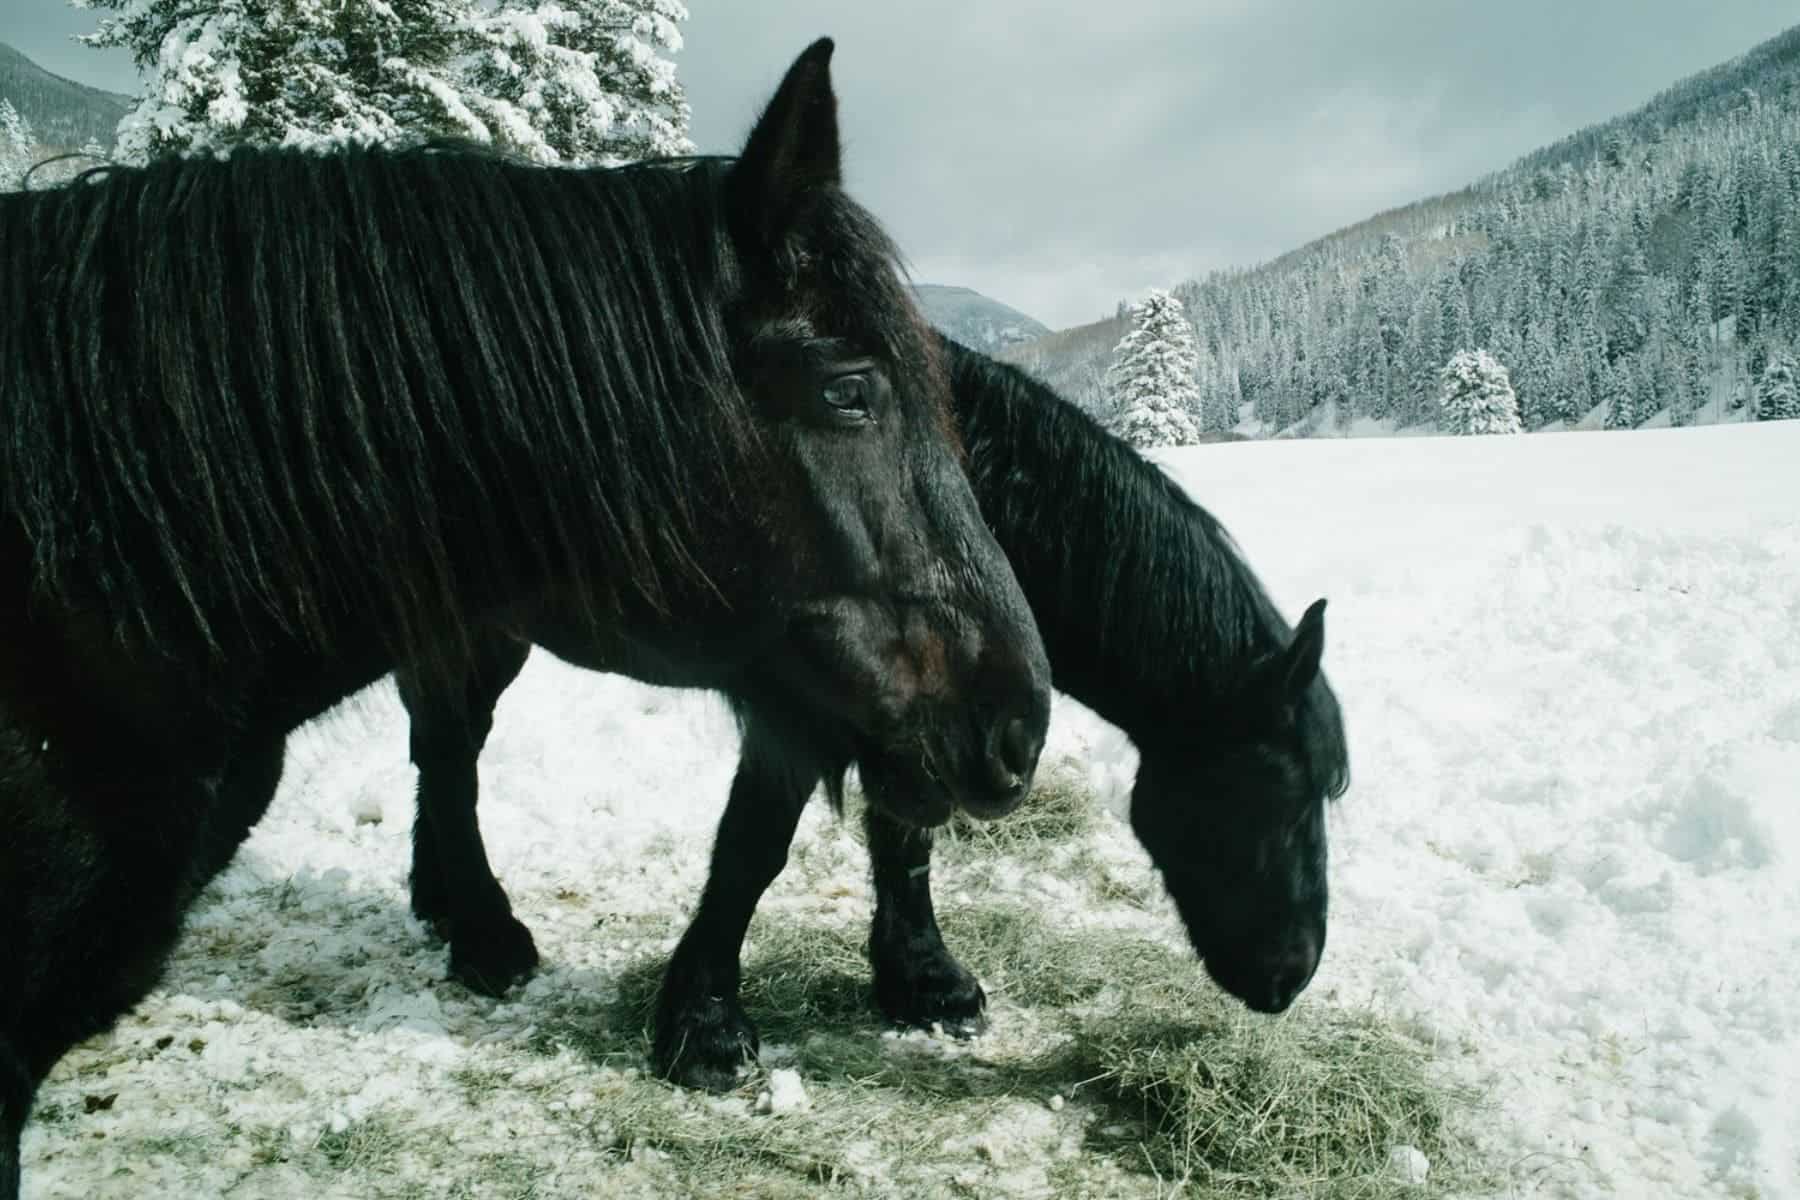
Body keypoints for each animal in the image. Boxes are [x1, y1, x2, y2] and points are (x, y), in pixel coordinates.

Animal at [372, 337, 1350, 1091]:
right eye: (1281, 791)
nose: (1293, 972)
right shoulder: (799, 712)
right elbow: (752, 853)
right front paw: (704, 1025)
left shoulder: (933, 717)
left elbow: (907, 840)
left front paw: (923, 983)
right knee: (450, 752)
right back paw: (487, 938)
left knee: (445, 752)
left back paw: (442, 902)